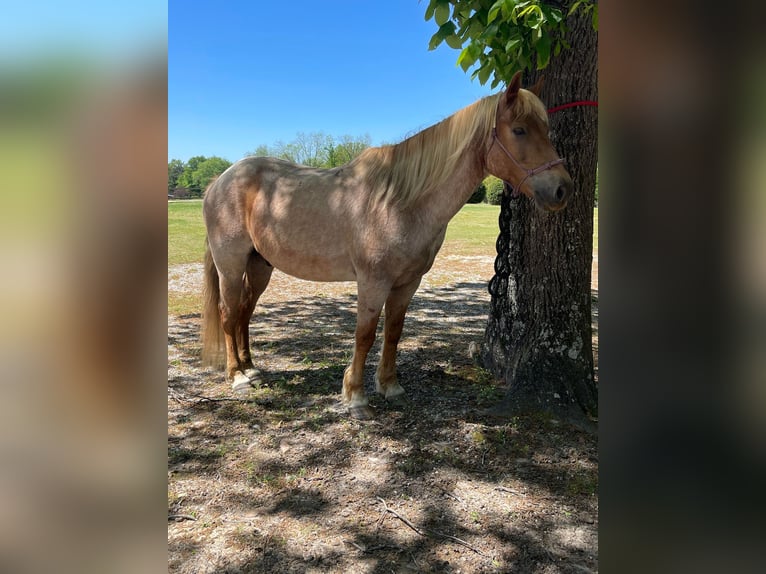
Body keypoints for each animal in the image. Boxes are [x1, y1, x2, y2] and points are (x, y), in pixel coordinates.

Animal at [201, 74, 572, 420]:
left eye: (545, 128)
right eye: (520, 130)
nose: (562, 189)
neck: (399, 202)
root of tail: (219, 181)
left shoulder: (408, 282)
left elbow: (393, 332)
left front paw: (390, 386)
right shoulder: (373, 281)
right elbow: (365, 335)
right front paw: (355, 396)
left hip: (259, 265)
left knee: (245, 312)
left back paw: (251, 368)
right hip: (231, 265)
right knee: (229, 313)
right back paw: (237, 376)